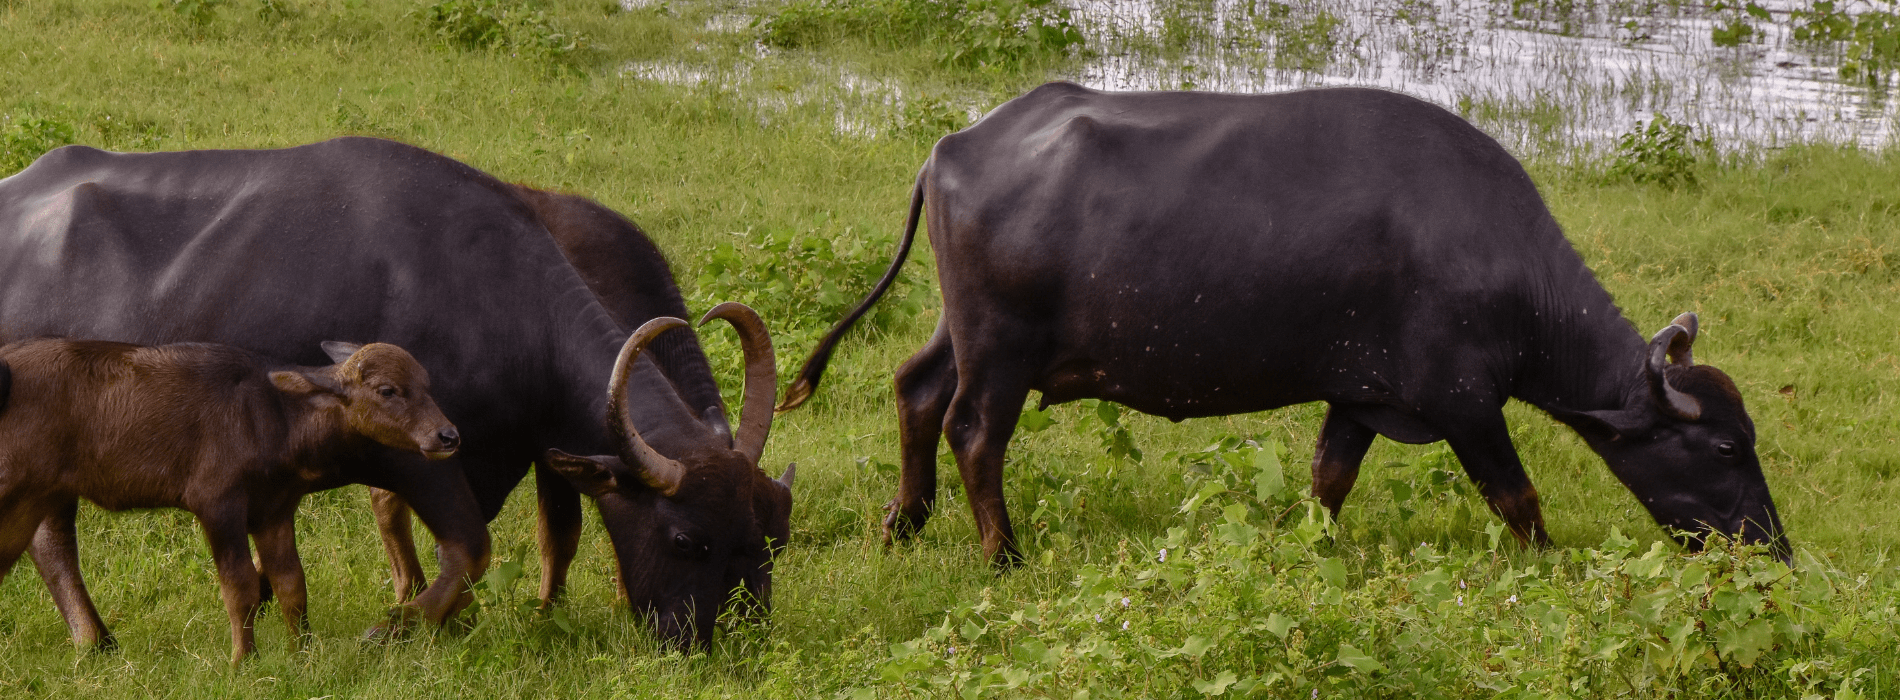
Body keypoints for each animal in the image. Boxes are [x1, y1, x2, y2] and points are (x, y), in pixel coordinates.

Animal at [0, 338, 459, 661]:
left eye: (427, 384)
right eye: (387, 390)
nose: (448, 435)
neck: (274, 417)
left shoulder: (275, 511)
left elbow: (292, 584)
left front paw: (303, 652)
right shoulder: (217, 506)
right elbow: (240, 587)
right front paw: (244, 660)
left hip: (42, 495)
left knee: (44, 547)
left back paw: (93, 643)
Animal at [779, 81, 1786, 566]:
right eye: (1726, 448)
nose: (1771, 548)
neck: (1496, 257)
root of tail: (955, 146)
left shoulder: (1360, 396)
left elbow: (1327, 483)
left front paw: (1308, 547)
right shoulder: (1466, 403)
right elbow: (1519, 499)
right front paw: (1551, 566)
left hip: (964, 331)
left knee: (915, 390)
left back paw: (903, 525)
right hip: (1002, 345)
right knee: (975, 432)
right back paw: (1002, 555)